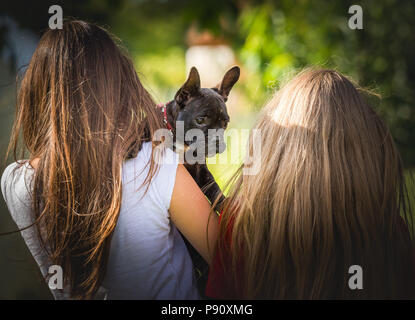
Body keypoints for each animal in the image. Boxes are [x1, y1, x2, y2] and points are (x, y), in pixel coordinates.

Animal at [162, 65, 240, 210]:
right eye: (200, 120)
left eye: (225, 123)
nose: (216, 140)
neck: (184, 146)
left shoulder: (202, 172)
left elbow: (214, 188)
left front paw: (223, 205)